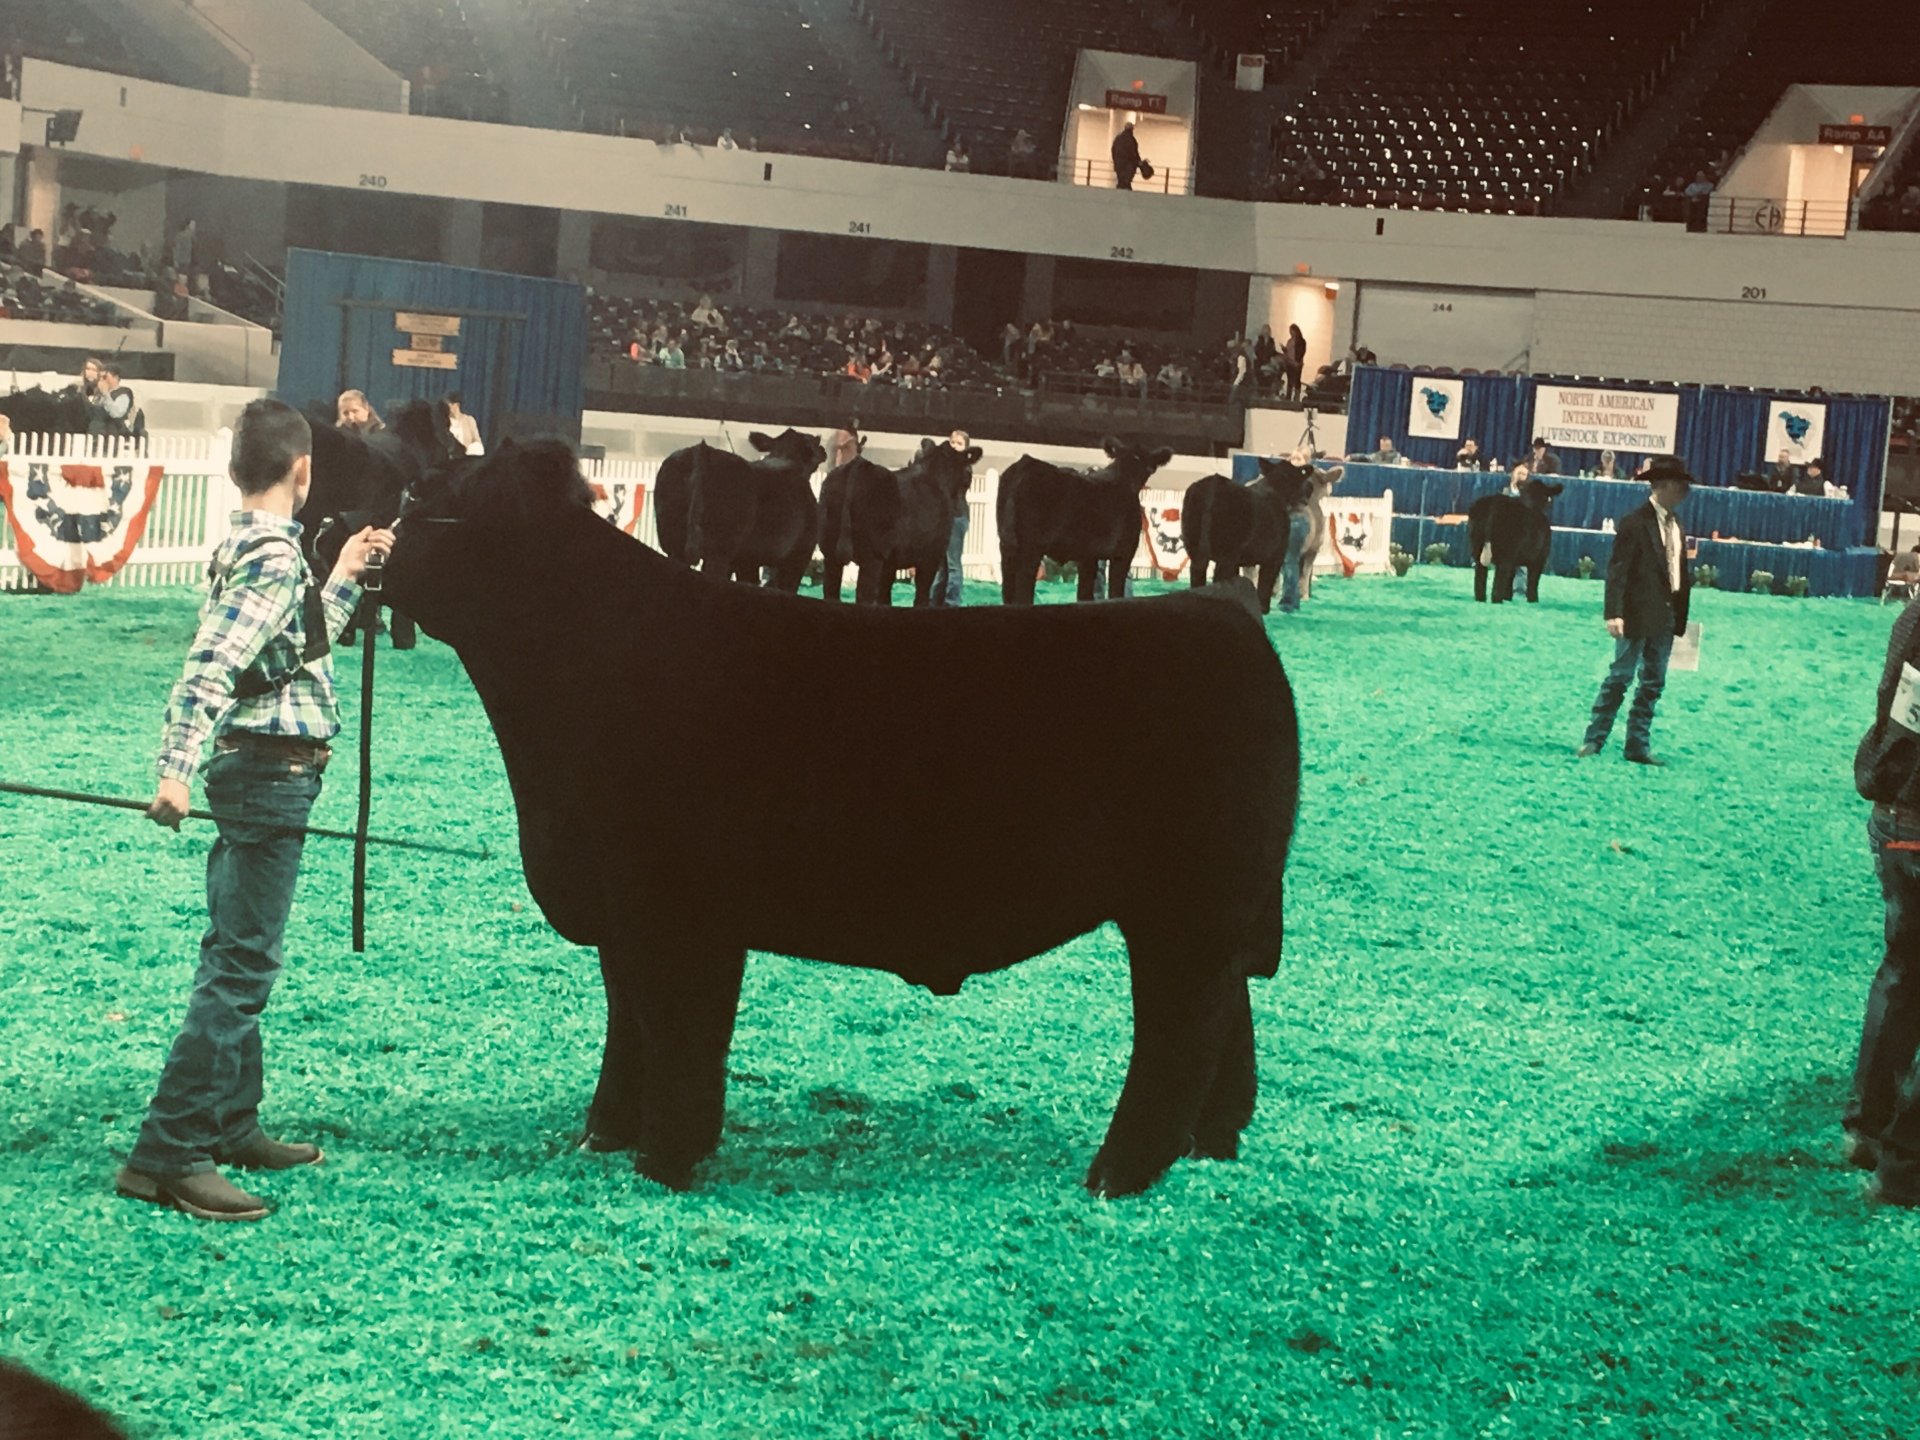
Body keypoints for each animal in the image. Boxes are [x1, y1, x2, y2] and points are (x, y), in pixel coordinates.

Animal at [654, 430, 826, 590]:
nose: (823, 450)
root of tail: (704, 449)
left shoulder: (745, 560)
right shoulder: (798, 558)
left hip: (673, 544)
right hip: (719, 551)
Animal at [817, 438, 983, 604]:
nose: (969, 477)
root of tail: (858, 464)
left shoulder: (890, 561)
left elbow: (885, 594)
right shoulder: (931, 556)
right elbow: (921, 594)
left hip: (830, 552)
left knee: (830, 591)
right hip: (872, 557)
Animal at [996, 438, 1175, 604]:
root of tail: (1025, 463)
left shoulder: (1088, 556)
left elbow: (1085, 594)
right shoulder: (1124, 552)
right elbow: (1115, 592)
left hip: (1007, 546)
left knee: (1008, 591)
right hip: (1030, 548)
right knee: (1023, 593)